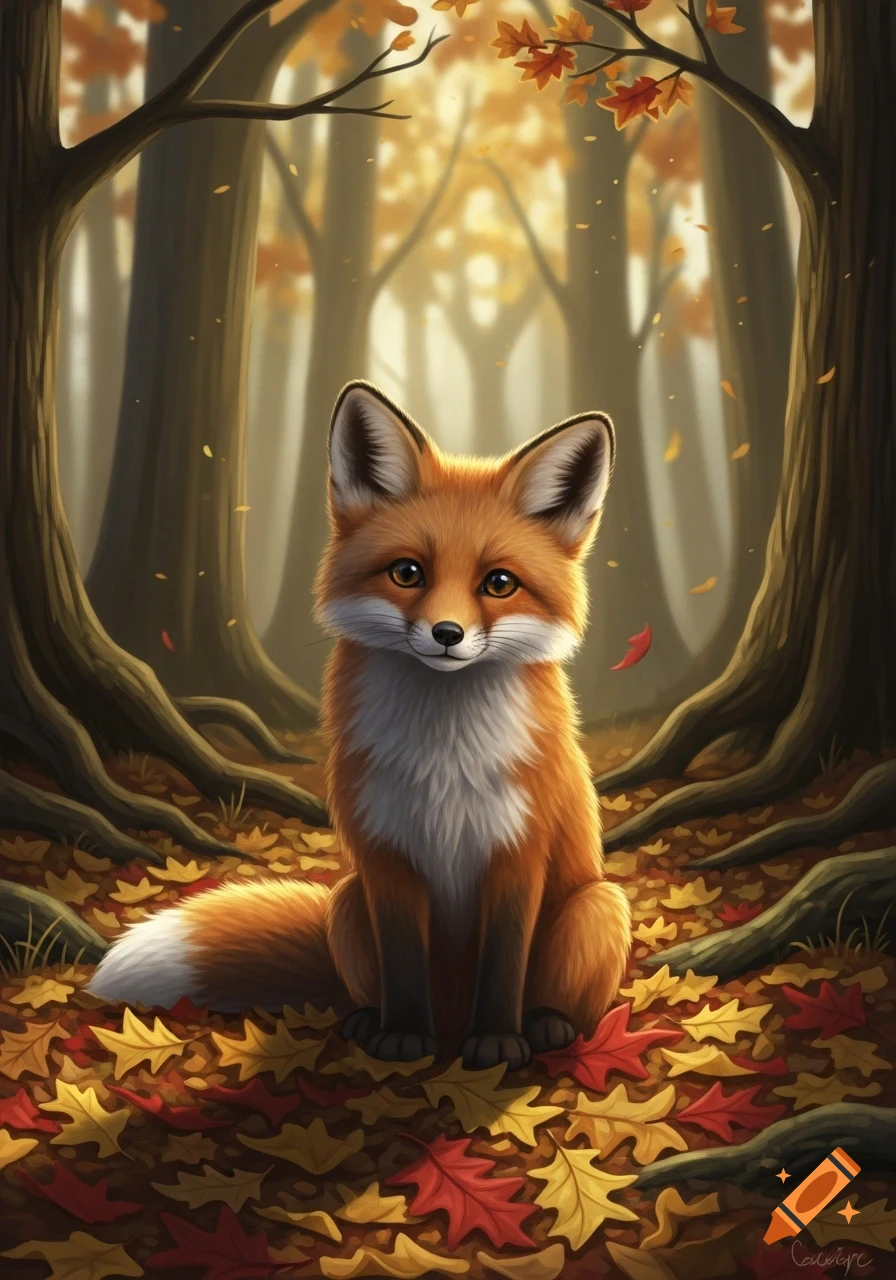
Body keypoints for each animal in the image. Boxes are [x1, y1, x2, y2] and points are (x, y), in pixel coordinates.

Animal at [88, 381, 632, 1070]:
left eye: (499, 583)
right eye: (407, 573)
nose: (447, 634)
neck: (444, 754)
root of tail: (451, 1011)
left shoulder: (518, 853)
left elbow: (504, 965)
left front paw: (497, 1041)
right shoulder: (385, 852)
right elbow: (402, 963)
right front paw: (402, 1036)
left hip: (597, 905)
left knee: (559, 994)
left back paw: (544, 1026)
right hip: (348, 902)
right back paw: (375, 1023)